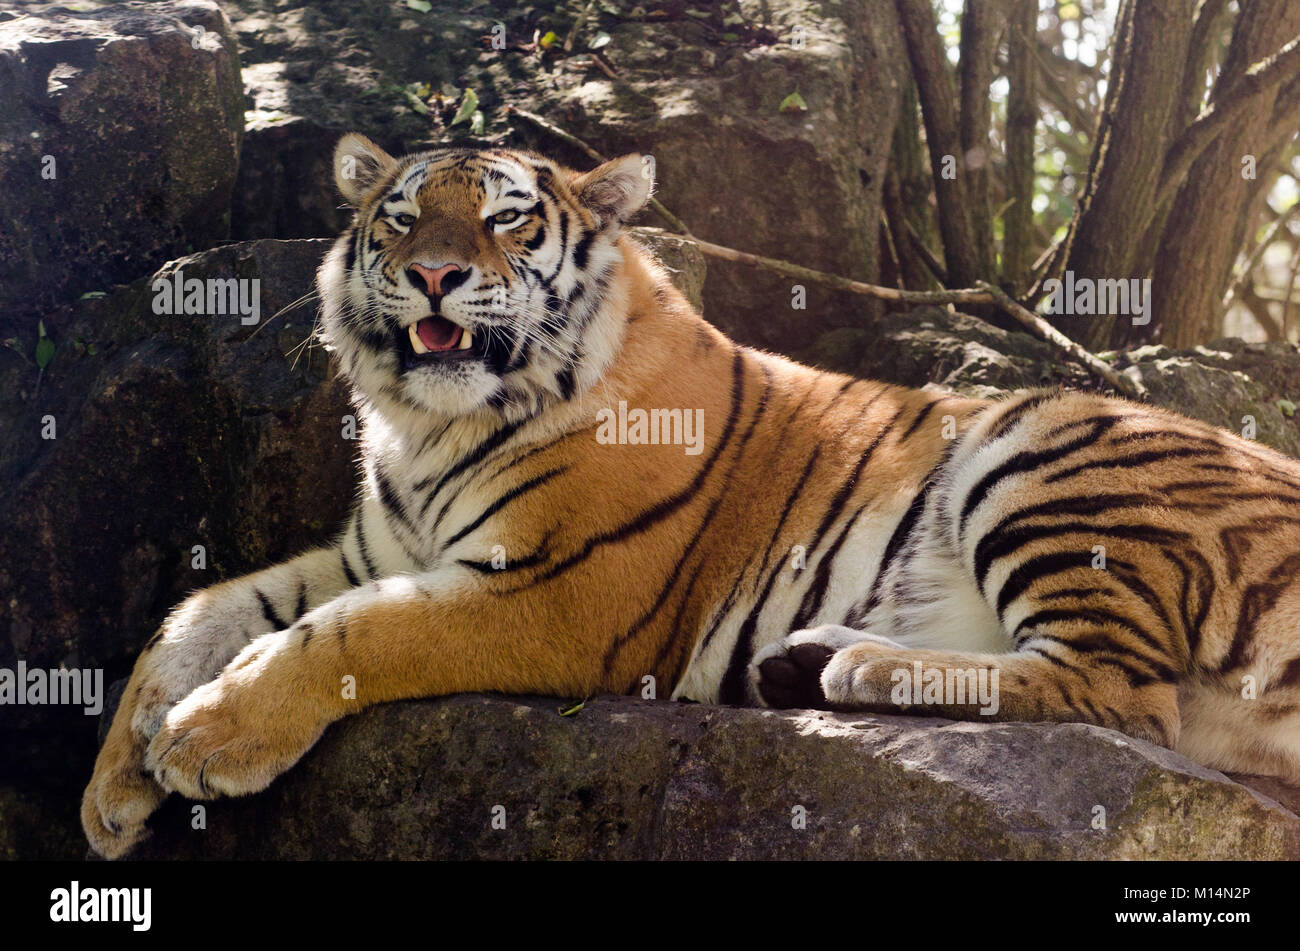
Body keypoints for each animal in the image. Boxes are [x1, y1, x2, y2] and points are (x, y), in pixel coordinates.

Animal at [83, 129, 1300, 857]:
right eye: (400, 216)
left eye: (507, 219)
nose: (433, 274)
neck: (430, 422)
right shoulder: (366, 554)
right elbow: (202, 611)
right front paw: (111, 792)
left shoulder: (550, 595)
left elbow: (345, 638)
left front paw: (207, 738)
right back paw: (809, 662)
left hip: (1041, 442)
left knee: (1122, 695)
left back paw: (854, 667)